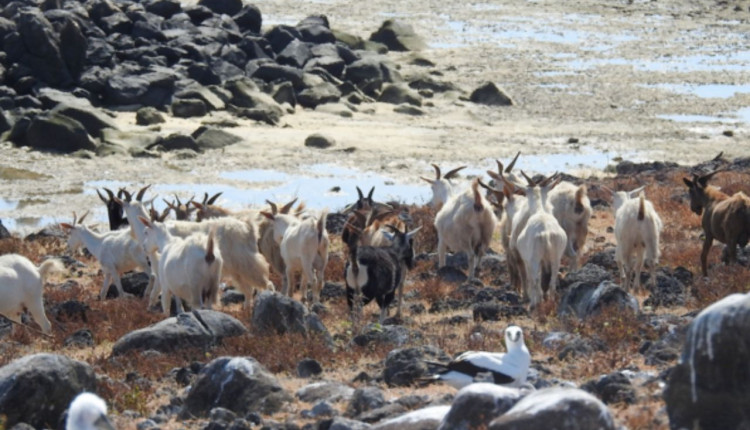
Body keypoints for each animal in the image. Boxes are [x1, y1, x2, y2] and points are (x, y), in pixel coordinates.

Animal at [516, 173, 568, 308]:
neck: (540, 211)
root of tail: (546, 233)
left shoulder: (527, 260)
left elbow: (531, 280)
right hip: (555, 259)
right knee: (552, 282)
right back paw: (550, 302)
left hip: (535, 260)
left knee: (535, 281)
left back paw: (535, 304)